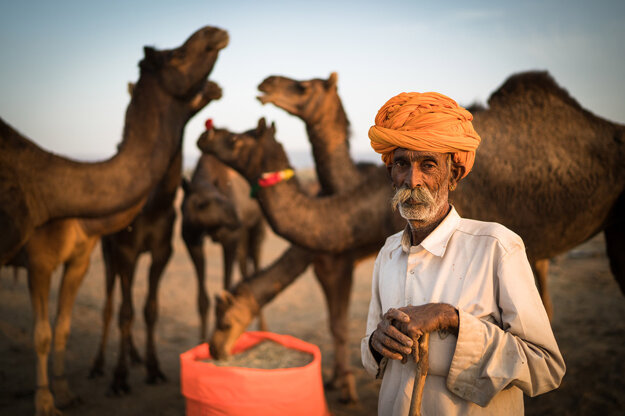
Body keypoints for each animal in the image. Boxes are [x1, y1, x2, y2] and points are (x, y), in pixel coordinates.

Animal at [180, 154, 268, 336]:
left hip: (257, 226)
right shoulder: (191, 240)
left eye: (222, 196)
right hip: (243, 236)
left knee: (256, 263)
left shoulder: (230, 239)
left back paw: (263, 329)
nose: (236, 218)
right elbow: (202, 300)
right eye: (203, 203)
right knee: (245, 268)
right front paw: (202, 340)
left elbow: (225, 289)